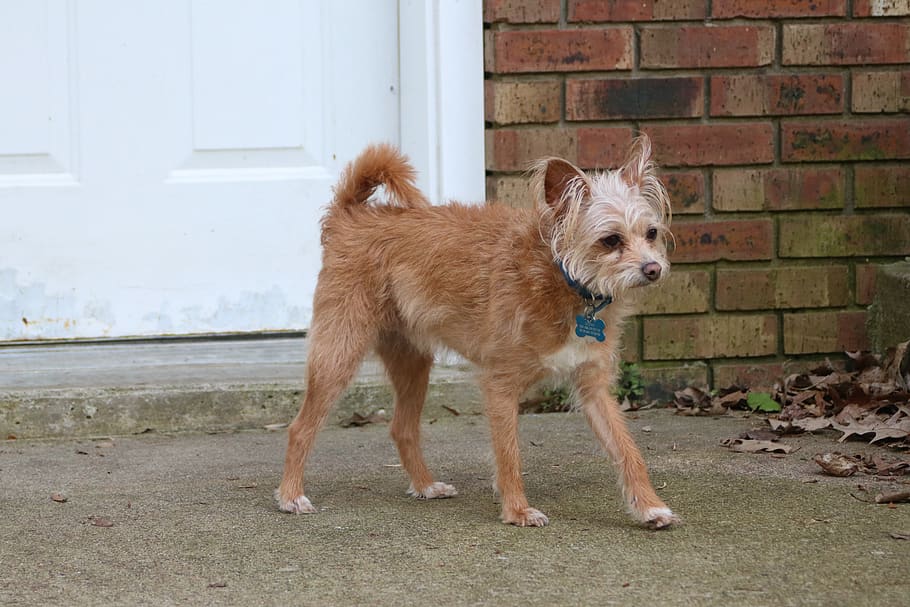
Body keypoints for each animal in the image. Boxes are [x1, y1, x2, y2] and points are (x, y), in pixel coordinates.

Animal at [274, 138, 680, 528]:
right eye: (610, 240)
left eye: (651, 233)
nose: (653, 269)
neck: (562, 277)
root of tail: (351, 215)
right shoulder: (500, 385)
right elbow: (509, 454)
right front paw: (517, 511)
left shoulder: (593, 388)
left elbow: (628, 449)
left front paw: (649, 507)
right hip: (338, 355)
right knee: (299, 428)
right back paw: (291, 495)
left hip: (412, 363)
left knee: (402, 428)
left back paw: (425, 485)